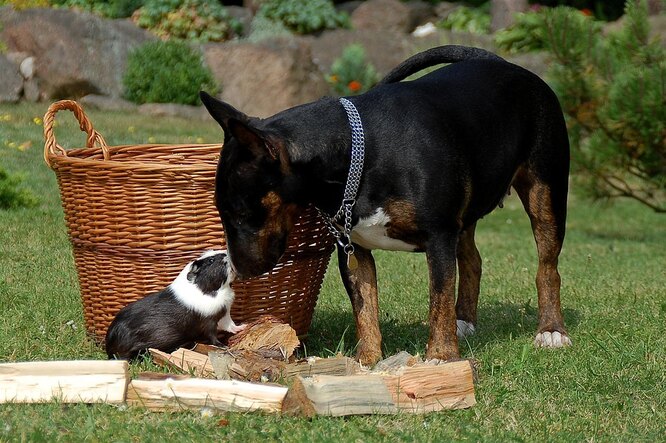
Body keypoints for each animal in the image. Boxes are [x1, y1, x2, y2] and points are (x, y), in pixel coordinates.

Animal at [105, 250, 245, 360]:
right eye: (211, 260)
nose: (227, 253)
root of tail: (109, 345)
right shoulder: (208, 321)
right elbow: (212, 336)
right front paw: (223, 346)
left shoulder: (223, 314)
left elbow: (230, 325)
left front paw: (243, 327)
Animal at [200, 45, 568, 366]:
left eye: (240, 213)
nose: (238, 271)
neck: (361, 152)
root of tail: (502, 63)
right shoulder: (352, 249)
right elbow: (365, 307)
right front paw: (366, 360)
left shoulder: (439, 235)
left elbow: (438, 298)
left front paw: (441, 356)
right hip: (467, 211)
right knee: (473, 260)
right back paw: (464, 321)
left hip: (545, 192)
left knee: (547, 266)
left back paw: (551, 331)